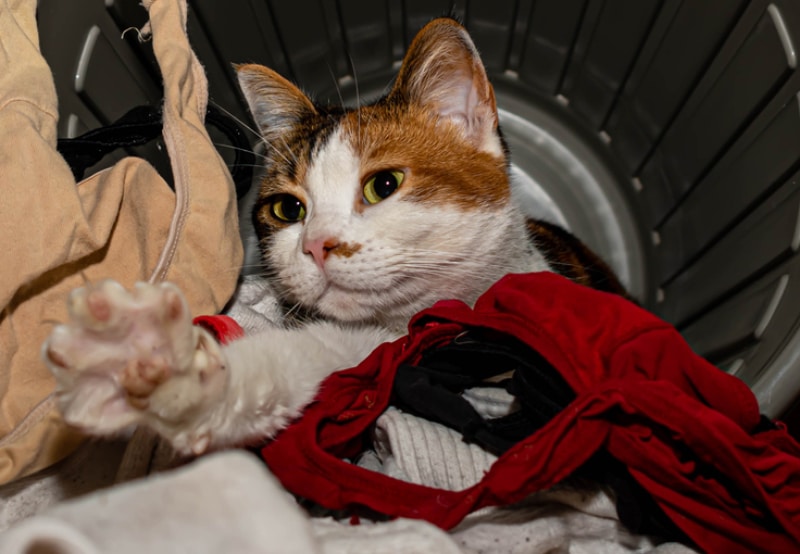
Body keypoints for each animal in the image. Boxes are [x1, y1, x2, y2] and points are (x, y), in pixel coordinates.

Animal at [40, 19, 624, 454]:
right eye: (287, 208)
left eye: (383, 184)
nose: (316, 246)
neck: (407, 330)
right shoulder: (359, 348)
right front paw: (151, 360)